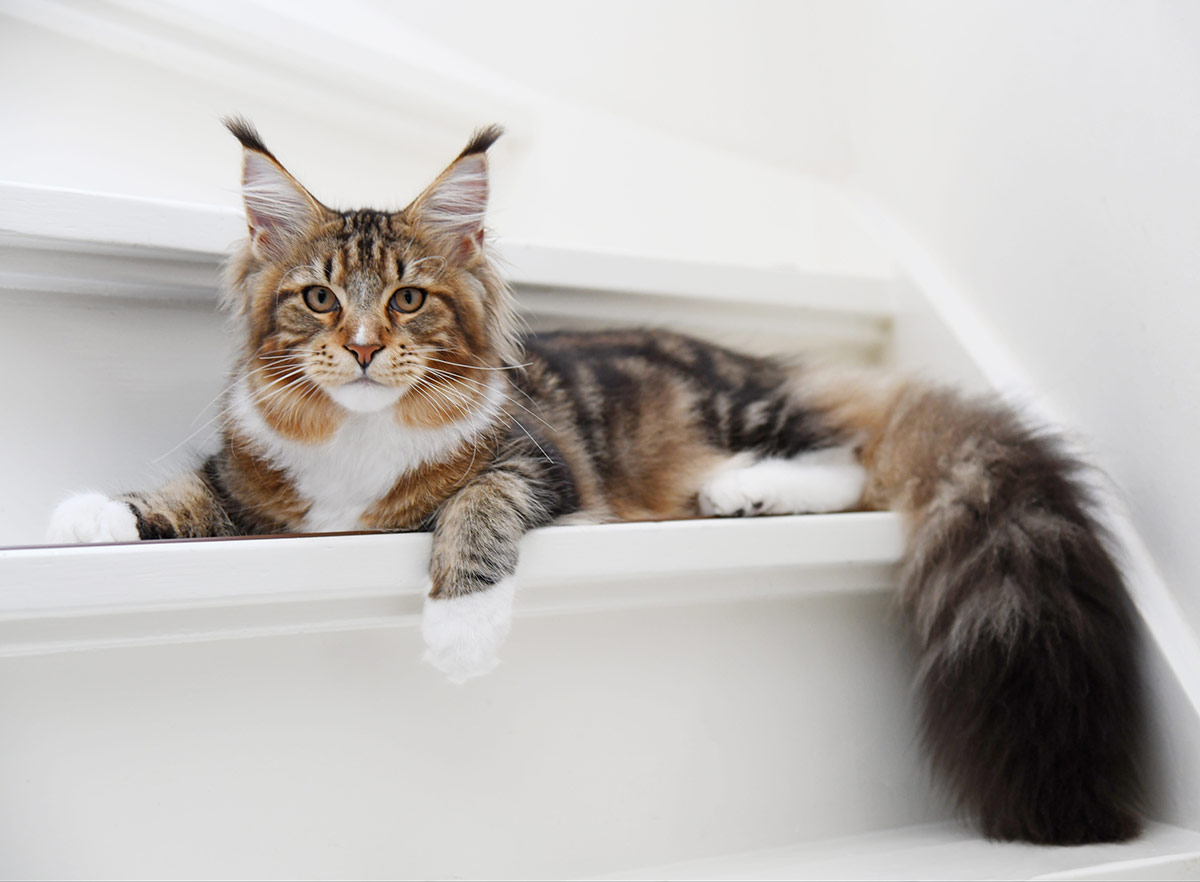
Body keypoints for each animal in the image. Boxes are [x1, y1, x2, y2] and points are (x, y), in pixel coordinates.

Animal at [49, 118, 1142, 849]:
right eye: (317, 299)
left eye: (407, 300)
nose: (359, 349)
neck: (359, 443)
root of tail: (774, 364)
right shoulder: (249, 485)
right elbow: (176, 497)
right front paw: (86, 516)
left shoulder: (539, 465)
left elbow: (474, 510)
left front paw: (459, 630)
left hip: (738, 406)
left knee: (851, 458)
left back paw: (746, 493)